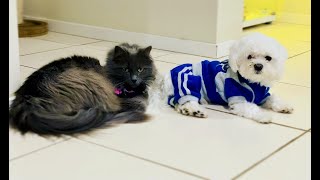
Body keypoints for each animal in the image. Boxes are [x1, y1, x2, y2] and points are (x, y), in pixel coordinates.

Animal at [8, 42, 156, 135]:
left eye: (140, 69)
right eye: (126, 69)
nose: (134, 79)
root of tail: (25, 98)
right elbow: (140, 102)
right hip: (92, 83)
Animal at [149, 33, 294, 123]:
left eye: (268, 58)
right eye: (249, 56)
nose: (258, 66)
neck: (254, 83)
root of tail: (165, 79)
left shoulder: (264, 95)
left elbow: (273, 98)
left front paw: (284, 106)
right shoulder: (237, 98)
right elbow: (251, 108)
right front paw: (263, 115)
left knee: (178, 103)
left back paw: (187, 110)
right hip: (189, 81)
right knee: (188, 99)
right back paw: (195, 110)